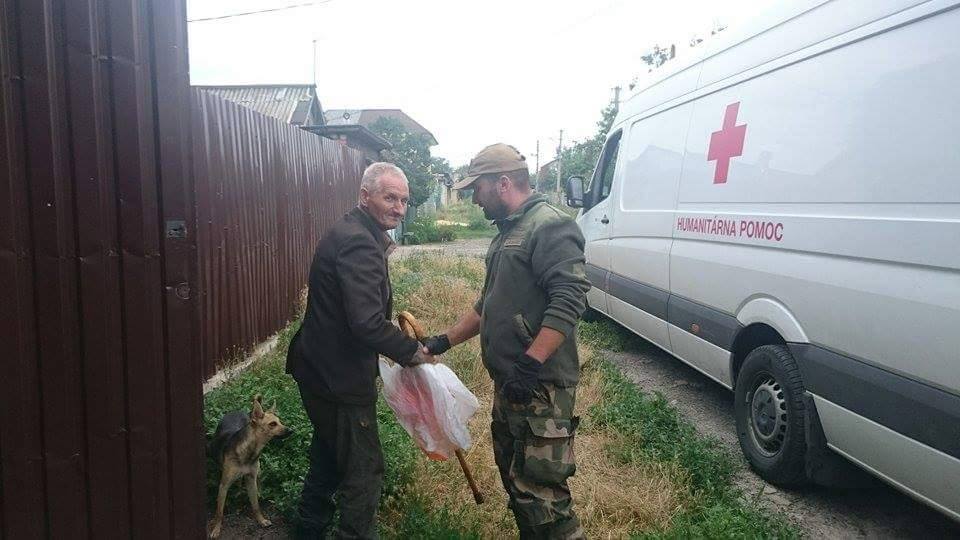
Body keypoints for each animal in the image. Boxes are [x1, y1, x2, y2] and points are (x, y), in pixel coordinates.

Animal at [205, 394, 288, 536]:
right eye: (272, 424)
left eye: (280, 422)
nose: (291, 430)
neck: (249, 450)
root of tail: (237, 411)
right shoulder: (224, 485)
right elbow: (219, 511)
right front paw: (216, 529)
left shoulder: (251, 480)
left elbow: (256, 505)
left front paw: (261, 520)